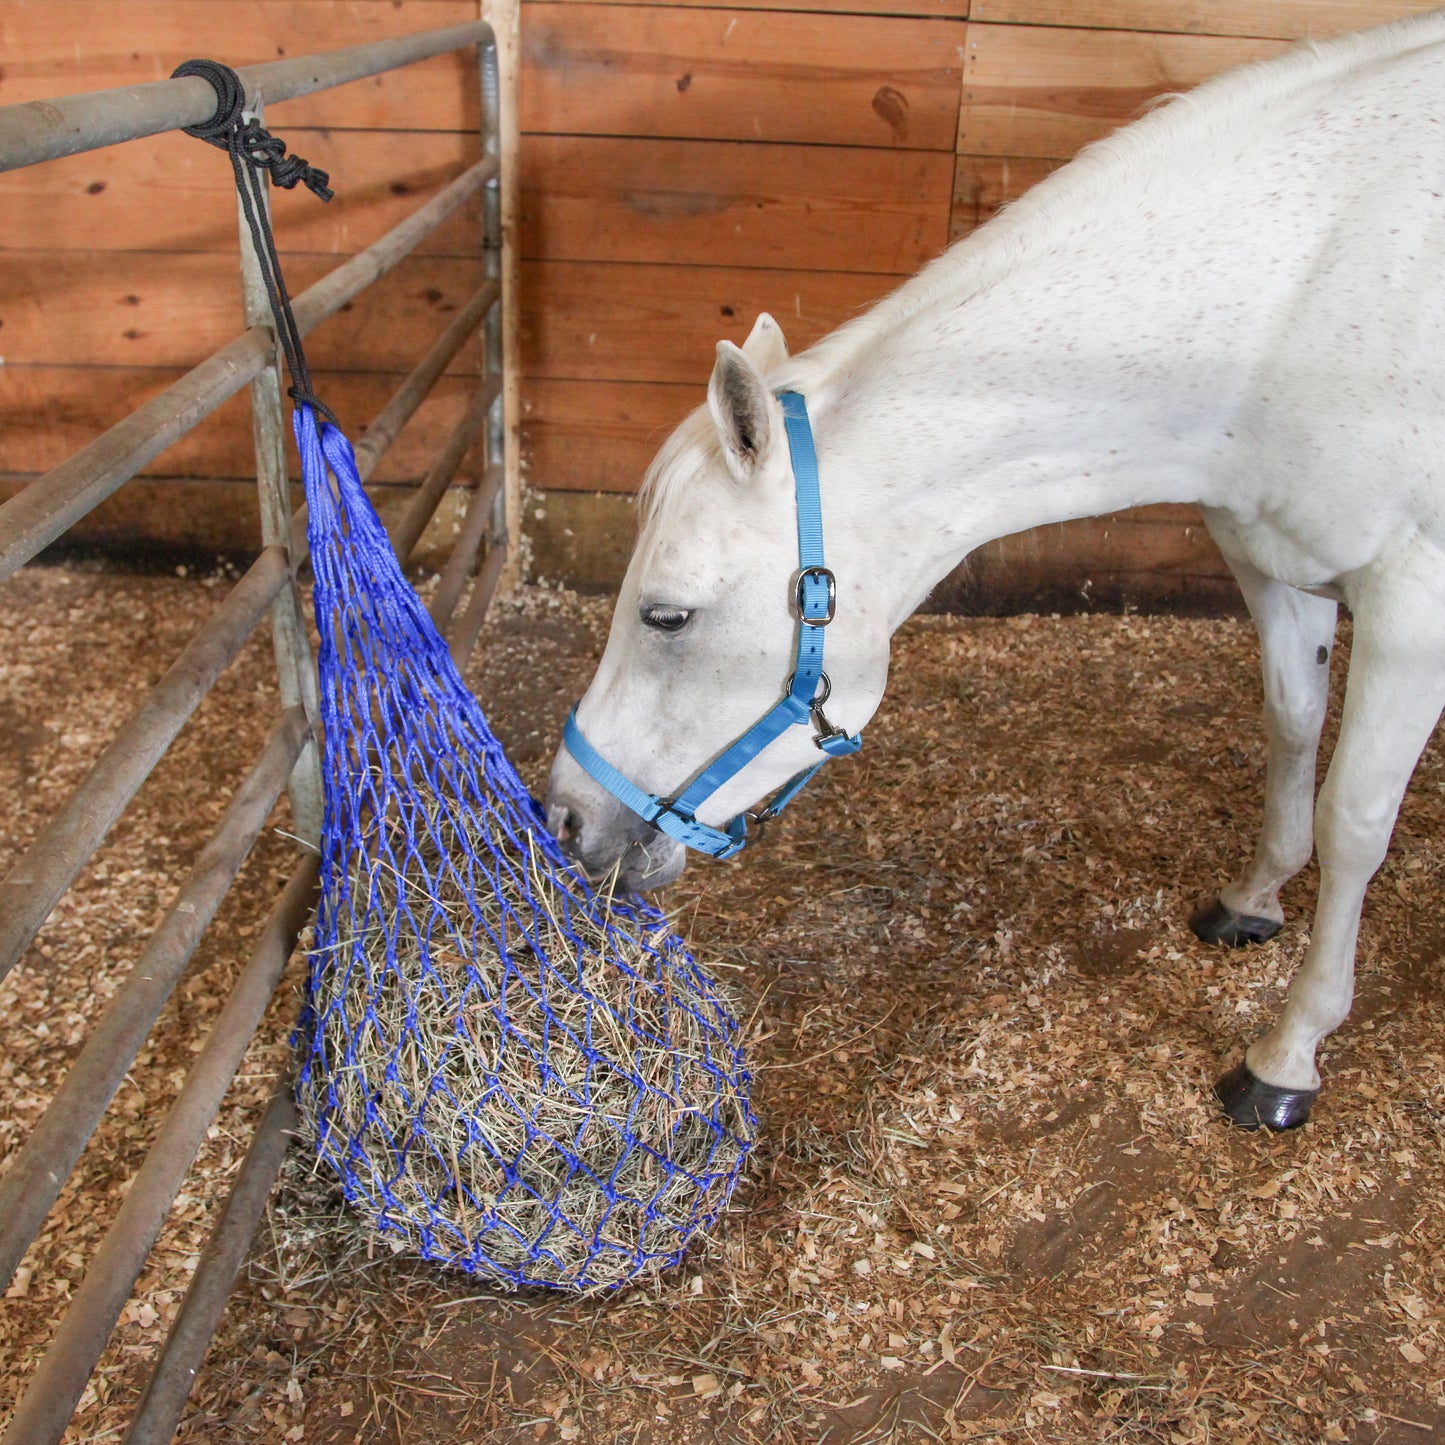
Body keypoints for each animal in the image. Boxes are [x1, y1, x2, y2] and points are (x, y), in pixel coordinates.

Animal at [546, 14, 1445, 1127]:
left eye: (666, 615)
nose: (565, 816)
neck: (1295, 292)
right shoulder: (1273, 559)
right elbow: (1288, 728)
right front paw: (1252, 899)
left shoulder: (1412, 611)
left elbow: (1353, 821)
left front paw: (1286, 1053)